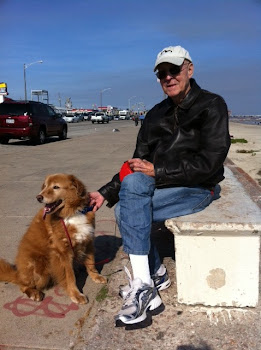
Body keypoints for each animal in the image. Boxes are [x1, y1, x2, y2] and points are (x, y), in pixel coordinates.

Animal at [0, 174, 106, 304]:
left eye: (56, 187)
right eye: (45, 186)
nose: (38, 197)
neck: (71, 213)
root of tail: (18, 274)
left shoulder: (88, 241)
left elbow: (91, 262)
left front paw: (96, 276)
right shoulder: (63, 253)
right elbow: (70, 276)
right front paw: (75, 294)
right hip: (37, 267)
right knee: (23, 285)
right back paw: (34, 293)